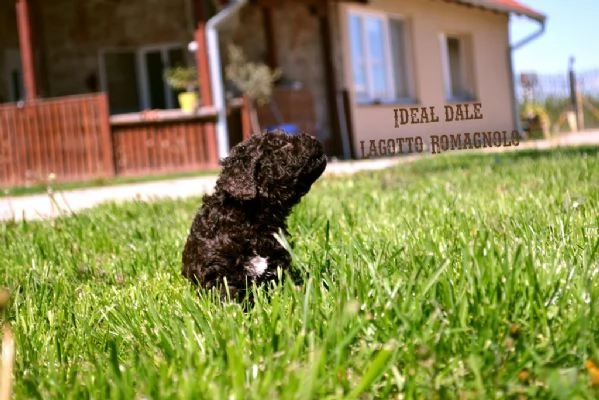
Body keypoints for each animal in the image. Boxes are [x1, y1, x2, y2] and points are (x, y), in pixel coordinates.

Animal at [182, 131, 328, 304]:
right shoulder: (218, 272)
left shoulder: (277, 266)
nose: (314, 138)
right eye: (282, 145)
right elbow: (229, 297)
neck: (252, 219)